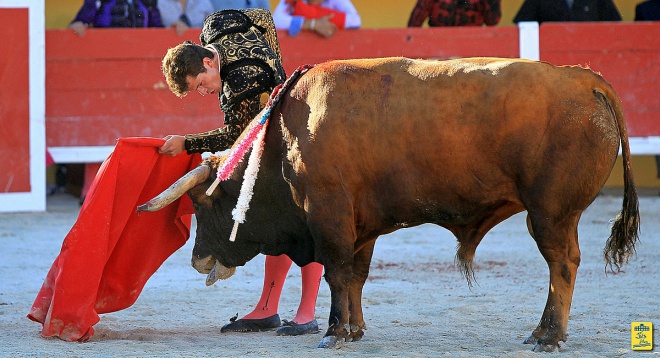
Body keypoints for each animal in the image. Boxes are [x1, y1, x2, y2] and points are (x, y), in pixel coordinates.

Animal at [139, 57, 640, 352]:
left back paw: (548, 336)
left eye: (204, 206)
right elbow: (357, 276)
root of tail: (587, 80)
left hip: (551, 213)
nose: (198, 260)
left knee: (563, 264)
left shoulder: (329, 216)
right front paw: (355, 328)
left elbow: (337, 273)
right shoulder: (362, 224)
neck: (283, 139)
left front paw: (334, 333)